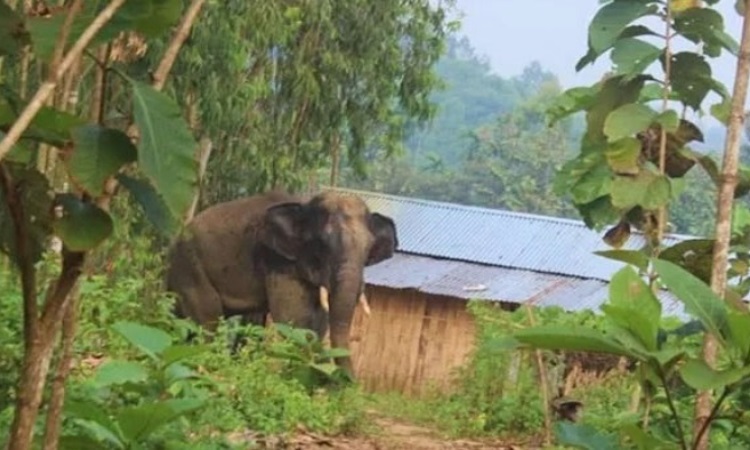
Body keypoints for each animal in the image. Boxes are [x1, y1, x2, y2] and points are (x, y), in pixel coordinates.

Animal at [164, 190, 400, 372]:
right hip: (189, 267)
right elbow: (295, 318)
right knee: (208, 320)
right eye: (322, 243)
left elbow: (318, 322)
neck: (304, 204)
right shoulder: (278, 260)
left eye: (369, 248)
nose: (349, 384)